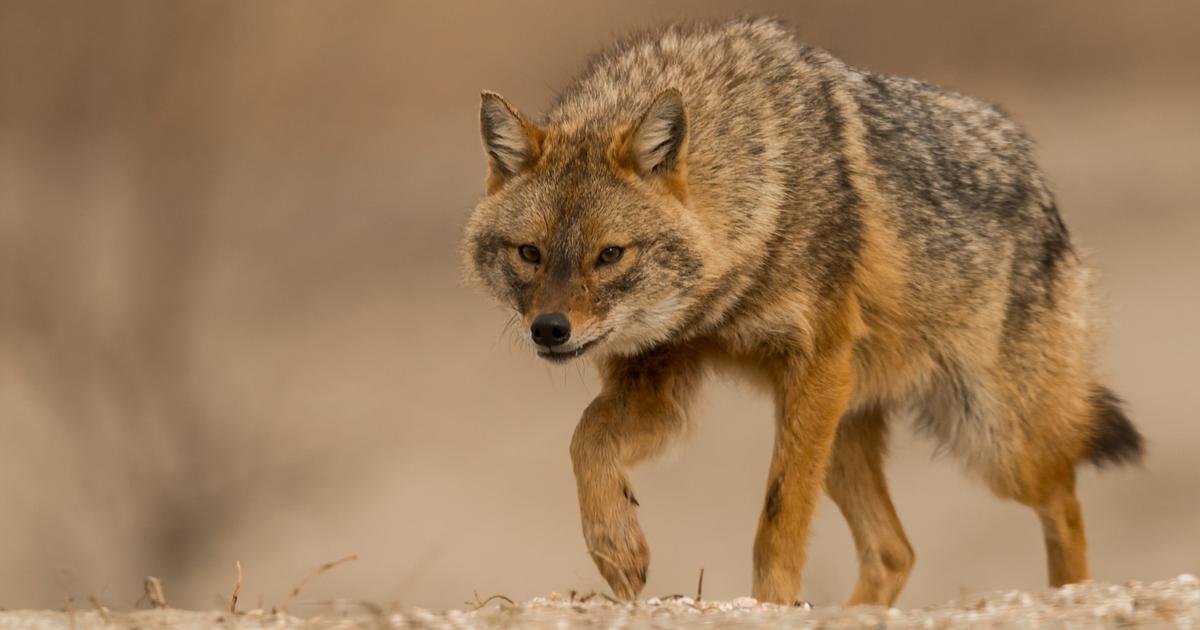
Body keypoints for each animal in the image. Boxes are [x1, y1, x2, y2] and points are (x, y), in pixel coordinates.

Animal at [461, 17, 1143, 606]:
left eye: (609, 255)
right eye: (529, 254)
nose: (550, 330)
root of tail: (1040, 180)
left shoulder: (816, 363)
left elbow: (779, 517)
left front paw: (771, 602)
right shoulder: (660, 381)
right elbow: (586, 441)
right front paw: (618, 549)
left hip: (989, 442)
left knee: (1064, 498)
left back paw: (1075, 596)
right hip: (841, 432)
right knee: (896, 551)